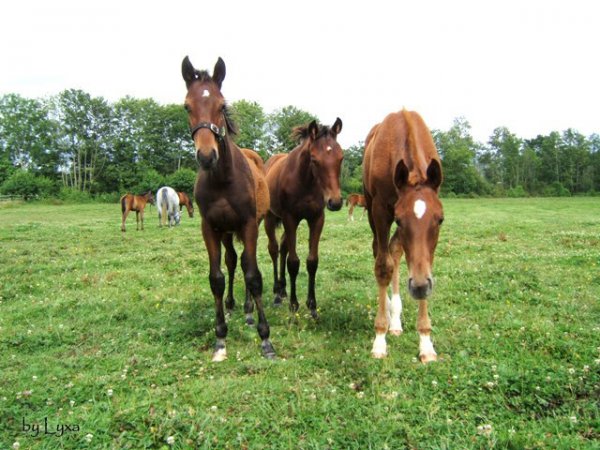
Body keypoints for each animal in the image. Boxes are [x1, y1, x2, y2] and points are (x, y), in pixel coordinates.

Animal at [180, 55, 274, 362]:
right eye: (187, 106)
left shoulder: (248, 224)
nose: (207, 156)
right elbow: (216, 278)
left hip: (247, 228)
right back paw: (233, 305)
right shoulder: (209, 227)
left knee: (244, 261)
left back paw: (248, 310)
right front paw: (220, 339)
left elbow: (253, 275)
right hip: (226, 232)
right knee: (232, 261)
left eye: (222, 105)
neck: (222, 179)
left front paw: (265, 338)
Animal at [264, 118, 344, 318]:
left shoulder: (316, 218)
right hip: (270, 217)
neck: (306, 181)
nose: (335, 202)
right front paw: (294, 305)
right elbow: (293, 263)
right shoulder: (290, 218)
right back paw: (277, 293)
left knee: (283, 246)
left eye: (341, 158)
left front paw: (312, 305)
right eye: (314, 160)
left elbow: (312, 261)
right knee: (274, 249)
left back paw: (283, 289)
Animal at [364, 109, 442, 362]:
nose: (418, 288)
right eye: (399, 220)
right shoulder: (381, 209)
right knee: (381, 252)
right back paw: (390, 315)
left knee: (396, 251)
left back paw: (396, 321)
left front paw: (426, 342)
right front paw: (379, 338)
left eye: (440, 220)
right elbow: (382, 267)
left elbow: (422, 265)